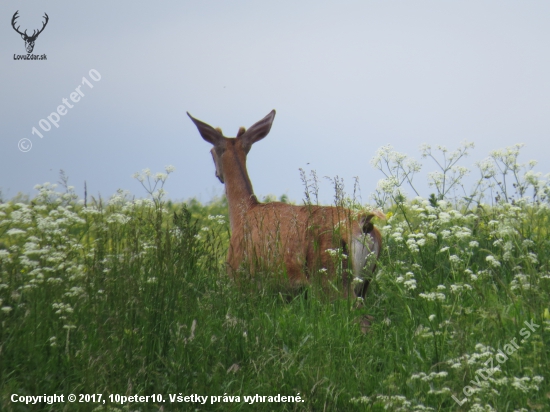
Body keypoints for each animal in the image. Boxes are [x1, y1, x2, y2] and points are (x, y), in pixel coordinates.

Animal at [188, 109, 386, 300]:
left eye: (211, 152)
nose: (218, 174)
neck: (242, 213)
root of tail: (364, 222)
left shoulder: (240, 276)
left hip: (330, 275)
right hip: (364, 282)